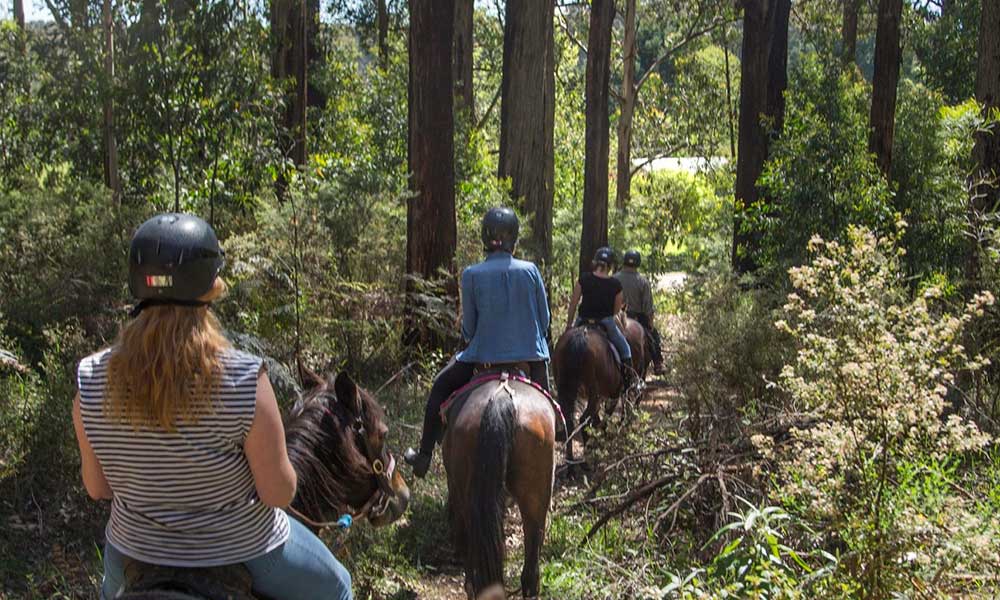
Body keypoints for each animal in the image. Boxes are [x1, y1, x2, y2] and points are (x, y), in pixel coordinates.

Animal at [556, 314, 648, 464]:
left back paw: (571, 463)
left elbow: (599, 417)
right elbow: (607, 414)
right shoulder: (613, 393)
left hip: (565, 390)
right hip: (594, 392)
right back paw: (587, 459)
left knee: (569, 420)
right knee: (583, 419)